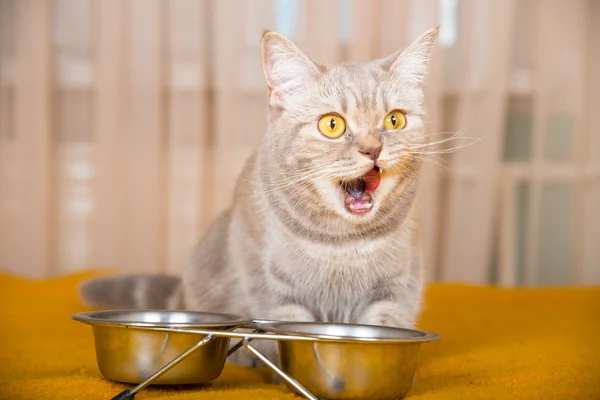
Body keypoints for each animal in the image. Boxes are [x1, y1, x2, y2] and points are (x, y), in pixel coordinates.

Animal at [77, 25, 438, 366]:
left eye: (394, 120)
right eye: (332, 125)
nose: (373, 149)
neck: (341, 244)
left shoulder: (398, 286)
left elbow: (387, 324)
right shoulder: (272, 288)